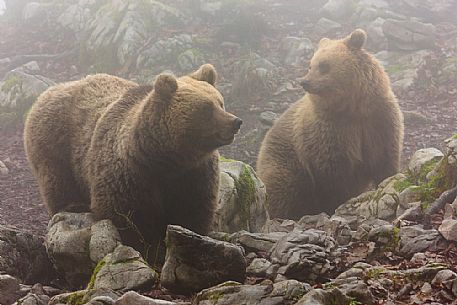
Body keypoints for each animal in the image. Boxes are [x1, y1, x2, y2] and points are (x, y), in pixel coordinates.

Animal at [24, 63, 242, 262]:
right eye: (207, 108)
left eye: (221, 102)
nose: (236, 122)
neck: (166, 159)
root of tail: (55, 88)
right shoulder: (129, 176)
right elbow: (130, 218)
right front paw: (149, 250)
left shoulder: (194, 174)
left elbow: (192, 211)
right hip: (54, 144)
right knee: (58, 183)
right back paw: (73, 206)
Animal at [256, 29, 402, 220]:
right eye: (310, 65)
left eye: (324, 65)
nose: (304, 82)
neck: (353, 109)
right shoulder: (328, 133)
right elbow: (332, 177)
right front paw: (336, 205)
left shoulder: (378, 121)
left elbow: (385, 160)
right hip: (285, 163)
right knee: (284, 190)